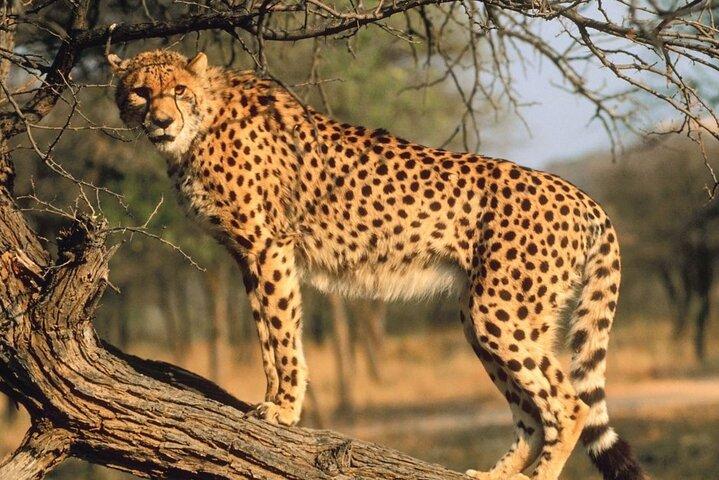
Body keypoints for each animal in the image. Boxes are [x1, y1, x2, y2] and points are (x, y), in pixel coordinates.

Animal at [108, 49, 648, 480]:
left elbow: (282, 334)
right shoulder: (247, 255)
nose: (161, 121)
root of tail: (584, 196)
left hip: (501, 313)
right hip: (484, 315)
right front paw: (273, 399)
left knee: (570, 405)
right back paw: (498, 475)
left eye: (179, 90)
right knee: (533, 413)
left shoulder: (270, 247)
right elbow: (267, 335)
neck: (200, 126)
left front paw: (284, 409)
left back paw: (536, 475)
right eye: (141, 92)